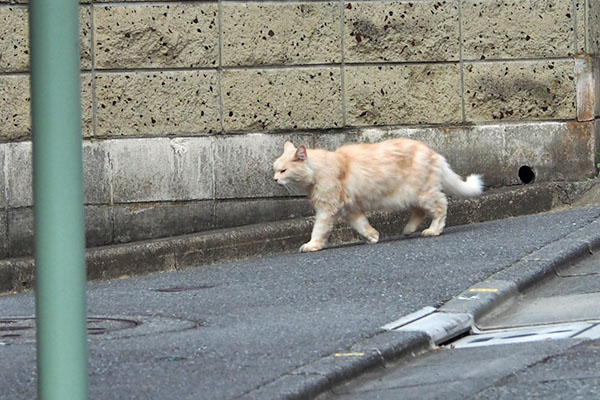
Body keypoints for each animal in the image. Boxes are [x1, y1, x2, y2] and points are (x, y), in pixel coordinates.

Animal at [274, 138, 486, 250]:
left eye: (283, 171)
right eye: (275, 170)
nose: (275, 180)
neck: (318, 170)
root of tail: (435, 153)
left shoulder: (327, 209)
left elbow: (318, 229)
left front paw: (312, 245)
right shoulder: (350, 209)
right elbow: (362, 224)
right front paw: (373, 236)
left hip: (423, 193)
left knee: (441, 206)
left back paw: (433, 230)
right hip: (413, 196)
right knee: (420, 211)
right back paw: (408, 230)